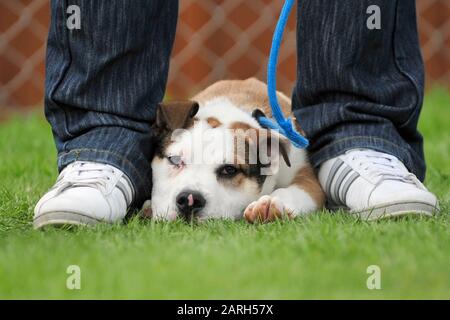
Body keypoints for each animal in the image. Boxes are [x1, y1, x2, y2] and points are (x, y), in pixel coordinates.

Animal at [148, 77, 324, 222]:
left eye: (229, 170)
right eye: (175, 160)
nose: (189, 200)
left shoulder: (307, 179)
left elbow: (295, 191)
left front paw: (272, 203)